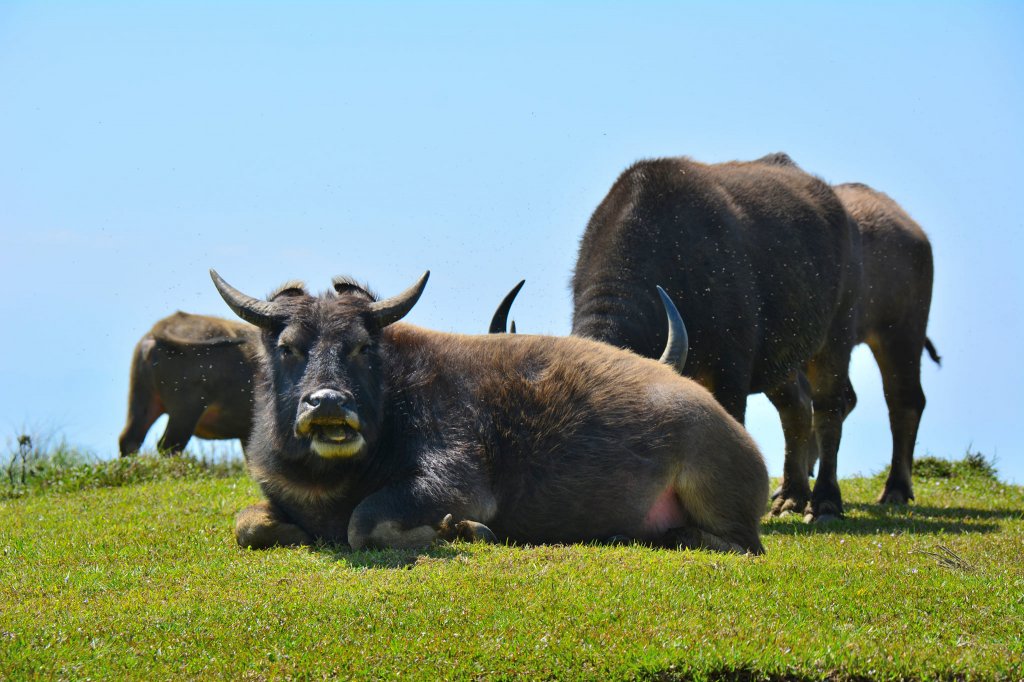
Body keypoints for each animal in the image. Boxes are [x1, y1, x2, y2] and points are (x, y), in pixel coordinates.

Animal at [209, 268, 770, 548]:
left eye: (362, 347)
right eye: (289, 347)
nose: (327, 403)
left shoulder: (456, 483)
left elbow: (362, 524)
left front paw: (459, 530)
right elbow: (246, 524)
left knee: (740, 542)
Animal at [573, 152, 860, 520]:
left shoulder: (730, 370)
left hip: (837, 335)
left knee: (828, 409)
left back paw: (825, 502)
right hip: (781, 360)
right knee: (796, 406)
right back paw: (791, 497)